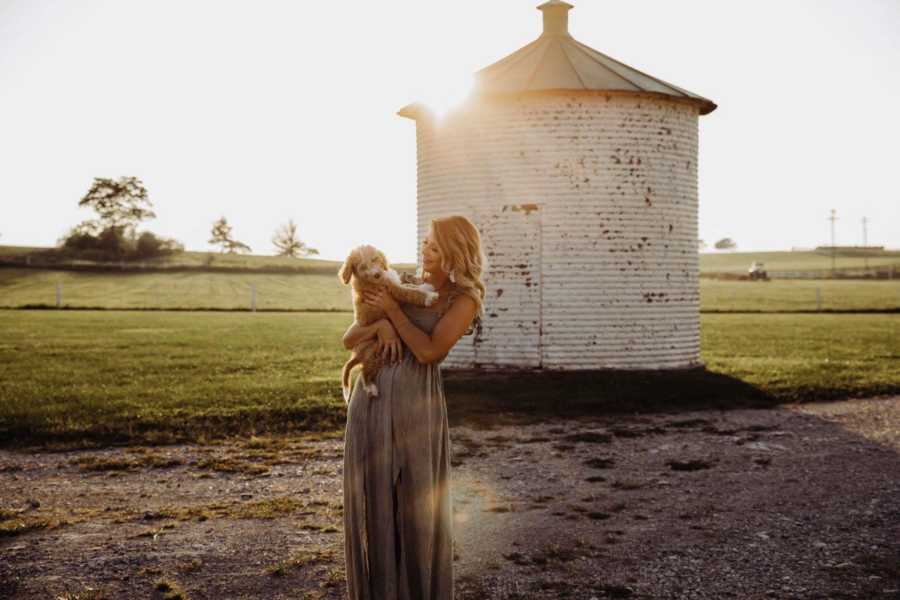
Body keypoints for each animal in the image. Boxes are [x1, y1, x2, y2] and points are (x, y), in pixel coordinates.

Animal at [338, 244, 440, 404]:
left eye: (375, 259)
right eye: (362, 267)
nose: (377, 275)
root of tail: (357, 354)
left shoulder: (392, 283)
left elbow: (409, 286)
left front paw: (425, 287)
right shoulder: (392, 291)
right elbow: (408, 292)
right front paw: (429, 297)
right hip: (375, 351)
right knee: (364, 371)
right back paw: (371, 387)